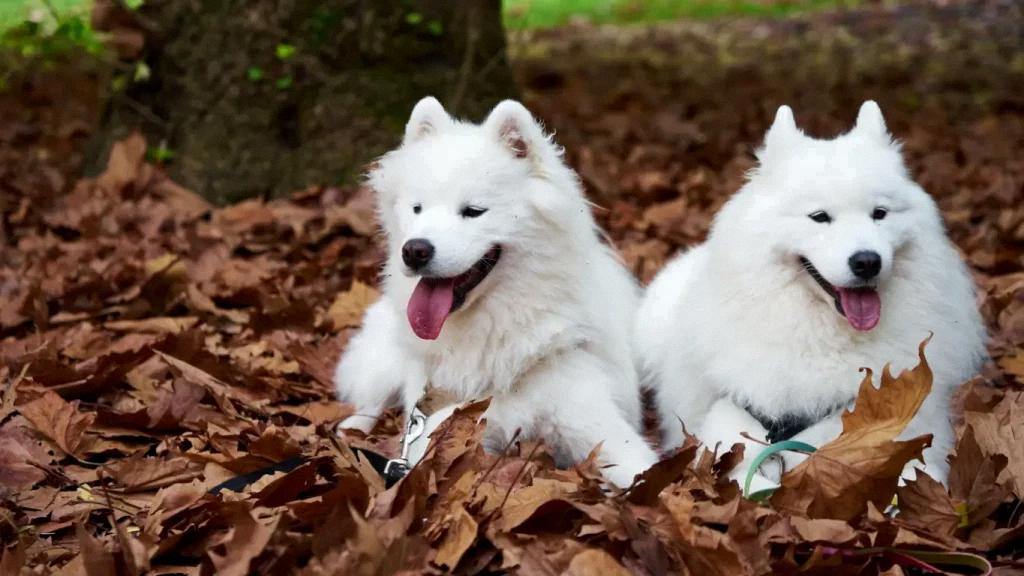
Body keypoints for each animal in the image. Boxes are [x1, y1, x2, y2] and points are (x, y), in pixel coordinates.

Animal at [335, 96, 655, 485]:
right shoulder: (447, 426)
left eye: (473, 211)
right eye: (417, 209)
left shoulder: (593, 419)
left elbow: (641, 470)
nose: (414, 250)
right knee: (369, 402)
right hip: (382, 366)